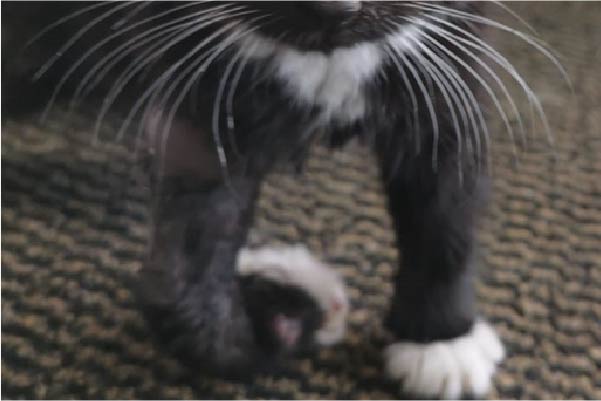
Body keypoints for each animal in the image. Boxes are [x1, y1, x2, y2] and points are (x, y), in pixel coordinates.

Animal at [2, 1, 564, 396]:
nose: (334, 7)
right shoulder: (195, 75)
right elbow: (181, 275)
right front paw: (292, 308)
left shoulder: (451, 59)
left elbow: (446, 206)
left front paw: (440, 339)